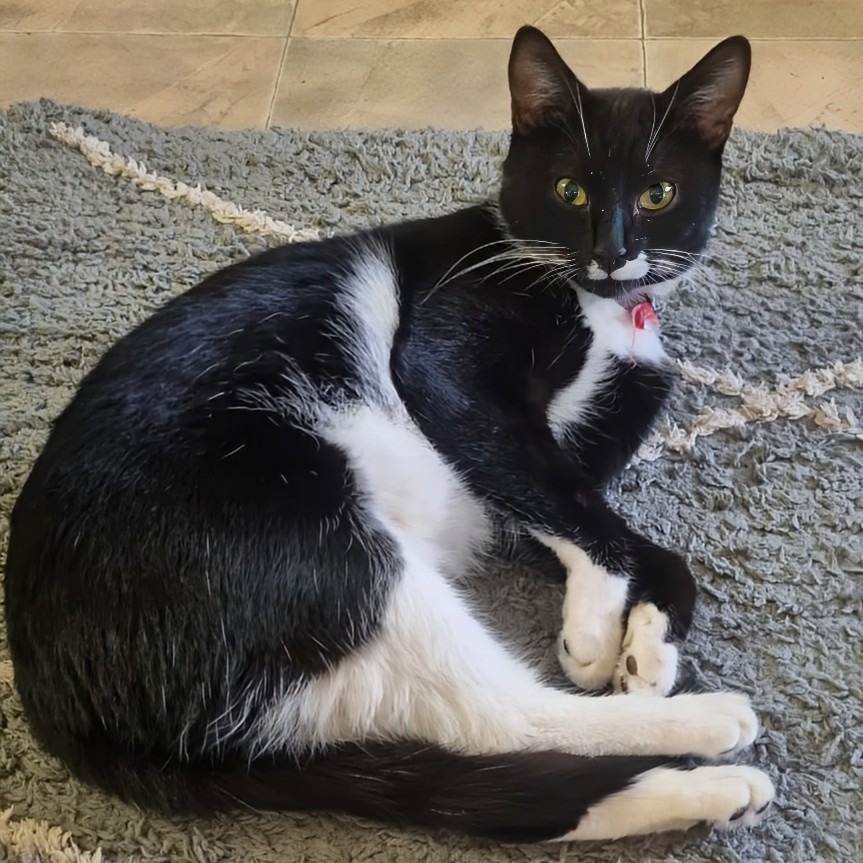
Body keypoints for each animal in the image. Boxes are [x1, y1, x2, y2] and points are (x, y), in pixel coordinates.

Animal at [4, 26, 773, 844]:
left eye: (658, 194)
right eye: (571, 190)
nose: (612, 251)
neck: (600, 309)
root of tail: (69, 707)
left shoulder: (556, 460)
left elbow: (598, 523)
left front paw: (641, 643)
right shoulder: (445, 369)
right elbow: (583, 515)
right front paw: (602, 638)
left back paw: (708, 787)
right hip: (326, 541)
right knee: (504, 721)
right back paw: (711, 732)